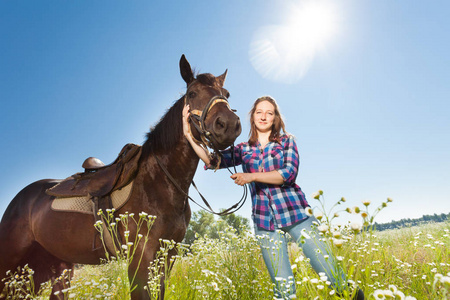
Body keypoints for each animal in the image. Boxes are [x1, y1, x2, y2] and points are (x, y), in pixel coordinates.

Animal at [0, 55, 241, 298]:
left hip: (54, 269)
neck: (160, 181)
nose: (228, 125)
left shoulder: (167, 256)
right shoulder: (140, 259)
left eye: (227, 94)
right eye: (192, 93)